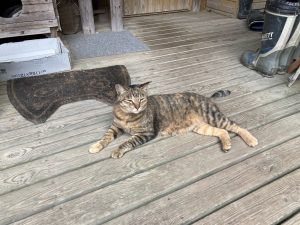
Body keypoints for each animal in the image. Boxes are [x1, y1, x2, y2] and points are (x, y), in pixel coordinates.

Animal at [89, 82, 258, 158]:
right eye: (130, 100)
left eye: (142, 99)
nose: (137, 107)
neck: (127, 117)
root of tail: (206, 97)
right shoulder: (115, 126)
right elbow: (105, 137)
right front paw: (96, 146)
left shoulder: (146, 133)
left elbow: (127, 142)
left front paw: (117, 150)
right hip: (201, 127)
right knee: (222, 131)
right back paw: (227, 144)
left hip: (214, 117)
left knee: (237, 126)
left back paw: (251, 140)